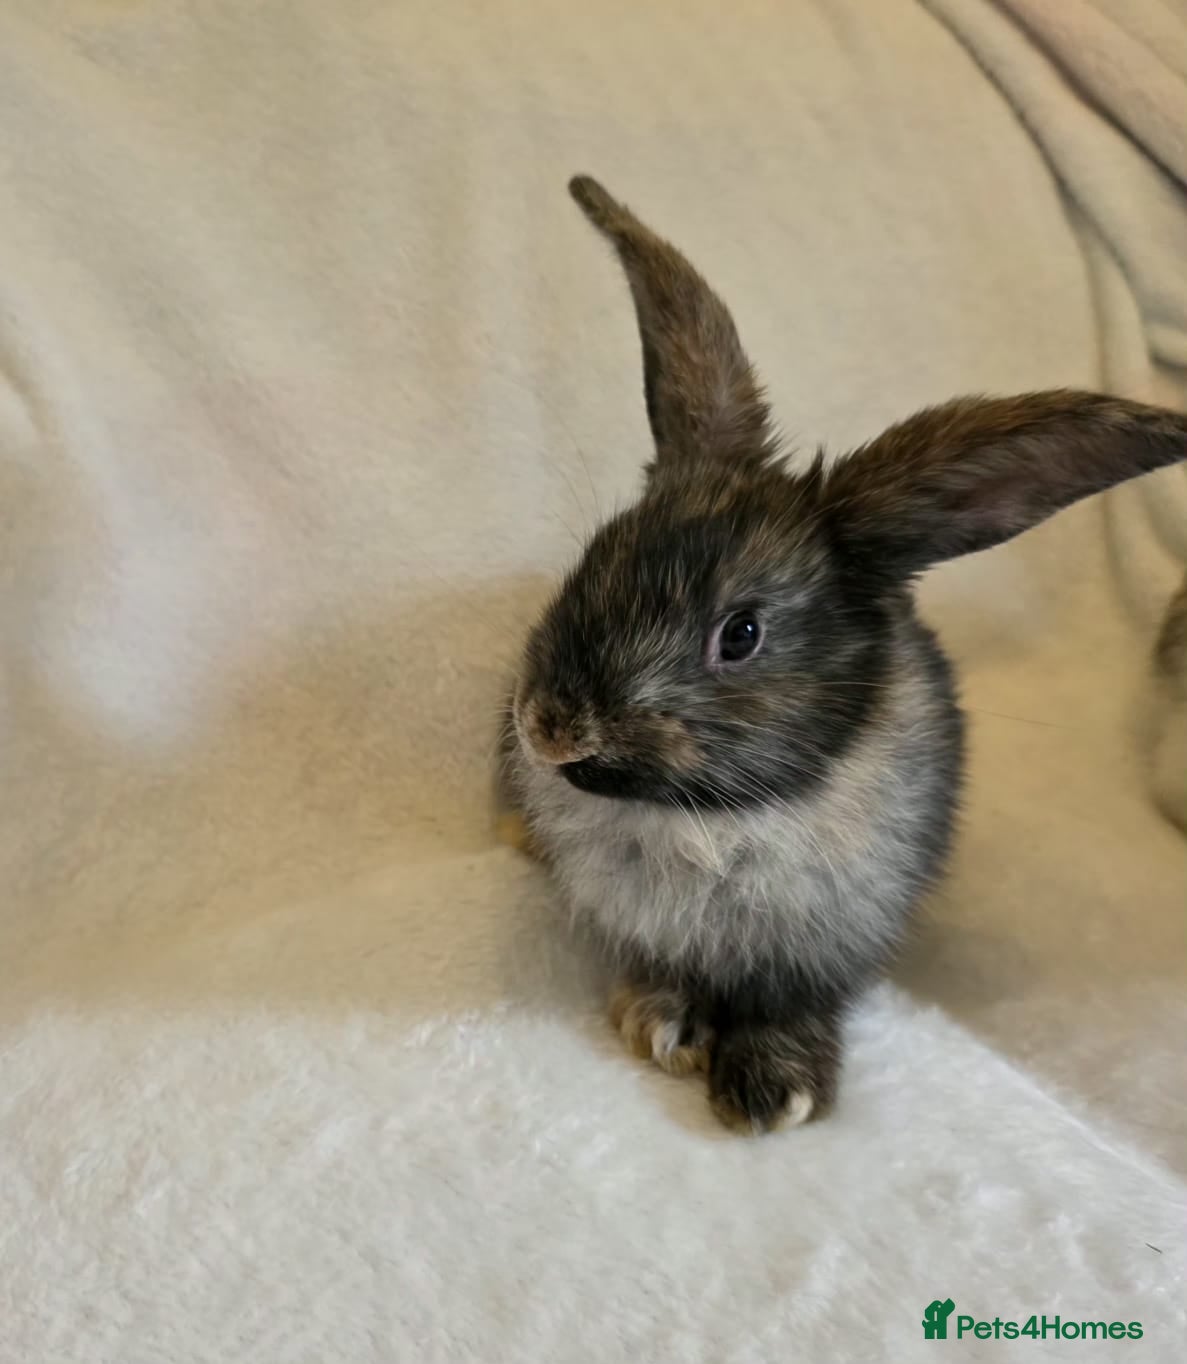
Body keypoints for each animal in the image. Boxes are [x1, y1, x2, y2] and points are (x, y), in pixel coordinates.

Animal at [501, 174, 1187, 1134]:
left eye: (740, 634)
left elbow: (793, 1001)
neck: (718, 819)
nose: (551, 731)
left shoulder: (828, 939)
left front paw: (772, 1091)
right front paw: (661, 1023)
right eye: (594, 559)